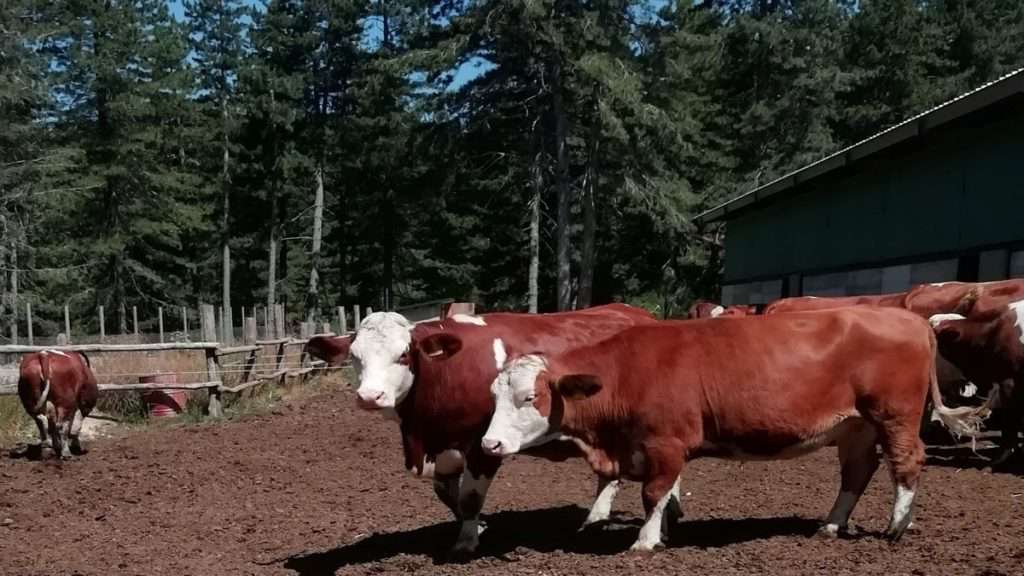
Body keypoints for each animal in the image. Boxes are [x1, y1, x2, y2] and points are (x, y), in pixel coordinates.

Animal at [479, 307, 983, 549]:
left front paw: (645, 542)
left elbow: (653, 492)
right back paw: (830, 525)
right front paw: (663, 530)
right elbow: (664, 491)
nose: (490, 442)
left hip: (894, 416)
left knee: (907, 463)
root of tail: (909, 317)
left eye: (530, 397)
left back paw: (897, 526)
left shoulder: (665, 441)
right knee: (857, 473)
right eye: (495, 395)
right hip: (855, 427)